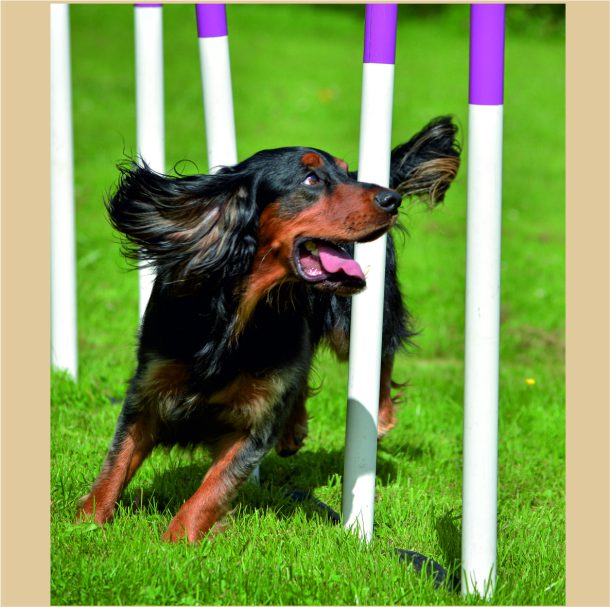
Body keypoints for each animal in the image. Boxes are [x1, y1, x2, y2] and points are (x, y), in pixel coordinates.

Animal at [77, 116, 460, 542]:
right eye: (311, 179)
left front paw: (176, 542)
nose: (391, 200)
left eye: (345, 174)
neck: (238, 312)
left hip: (352, 321)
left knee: (381, 348)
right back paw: (295, 428)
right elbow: (115, 465)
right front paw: (84, 524)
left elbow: (212, 489)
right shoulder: (148, 392)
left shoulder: (254, 423)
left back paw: (380, 412)